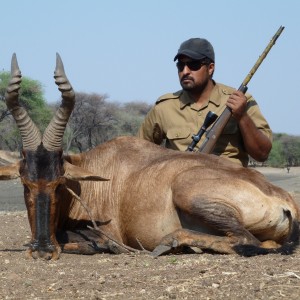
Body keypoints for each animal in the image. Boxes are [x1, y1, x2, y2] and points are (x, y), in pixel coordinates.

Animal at [0, 54, 298, 260]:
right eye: (25, 182)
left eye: (59, 183)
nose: (42, 250)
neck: (99, 171)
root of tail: (284, 199)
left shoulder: (108, 232)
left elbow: (87, 240)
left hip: (189, 193)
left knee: (247, 241)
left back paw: (172, 242)